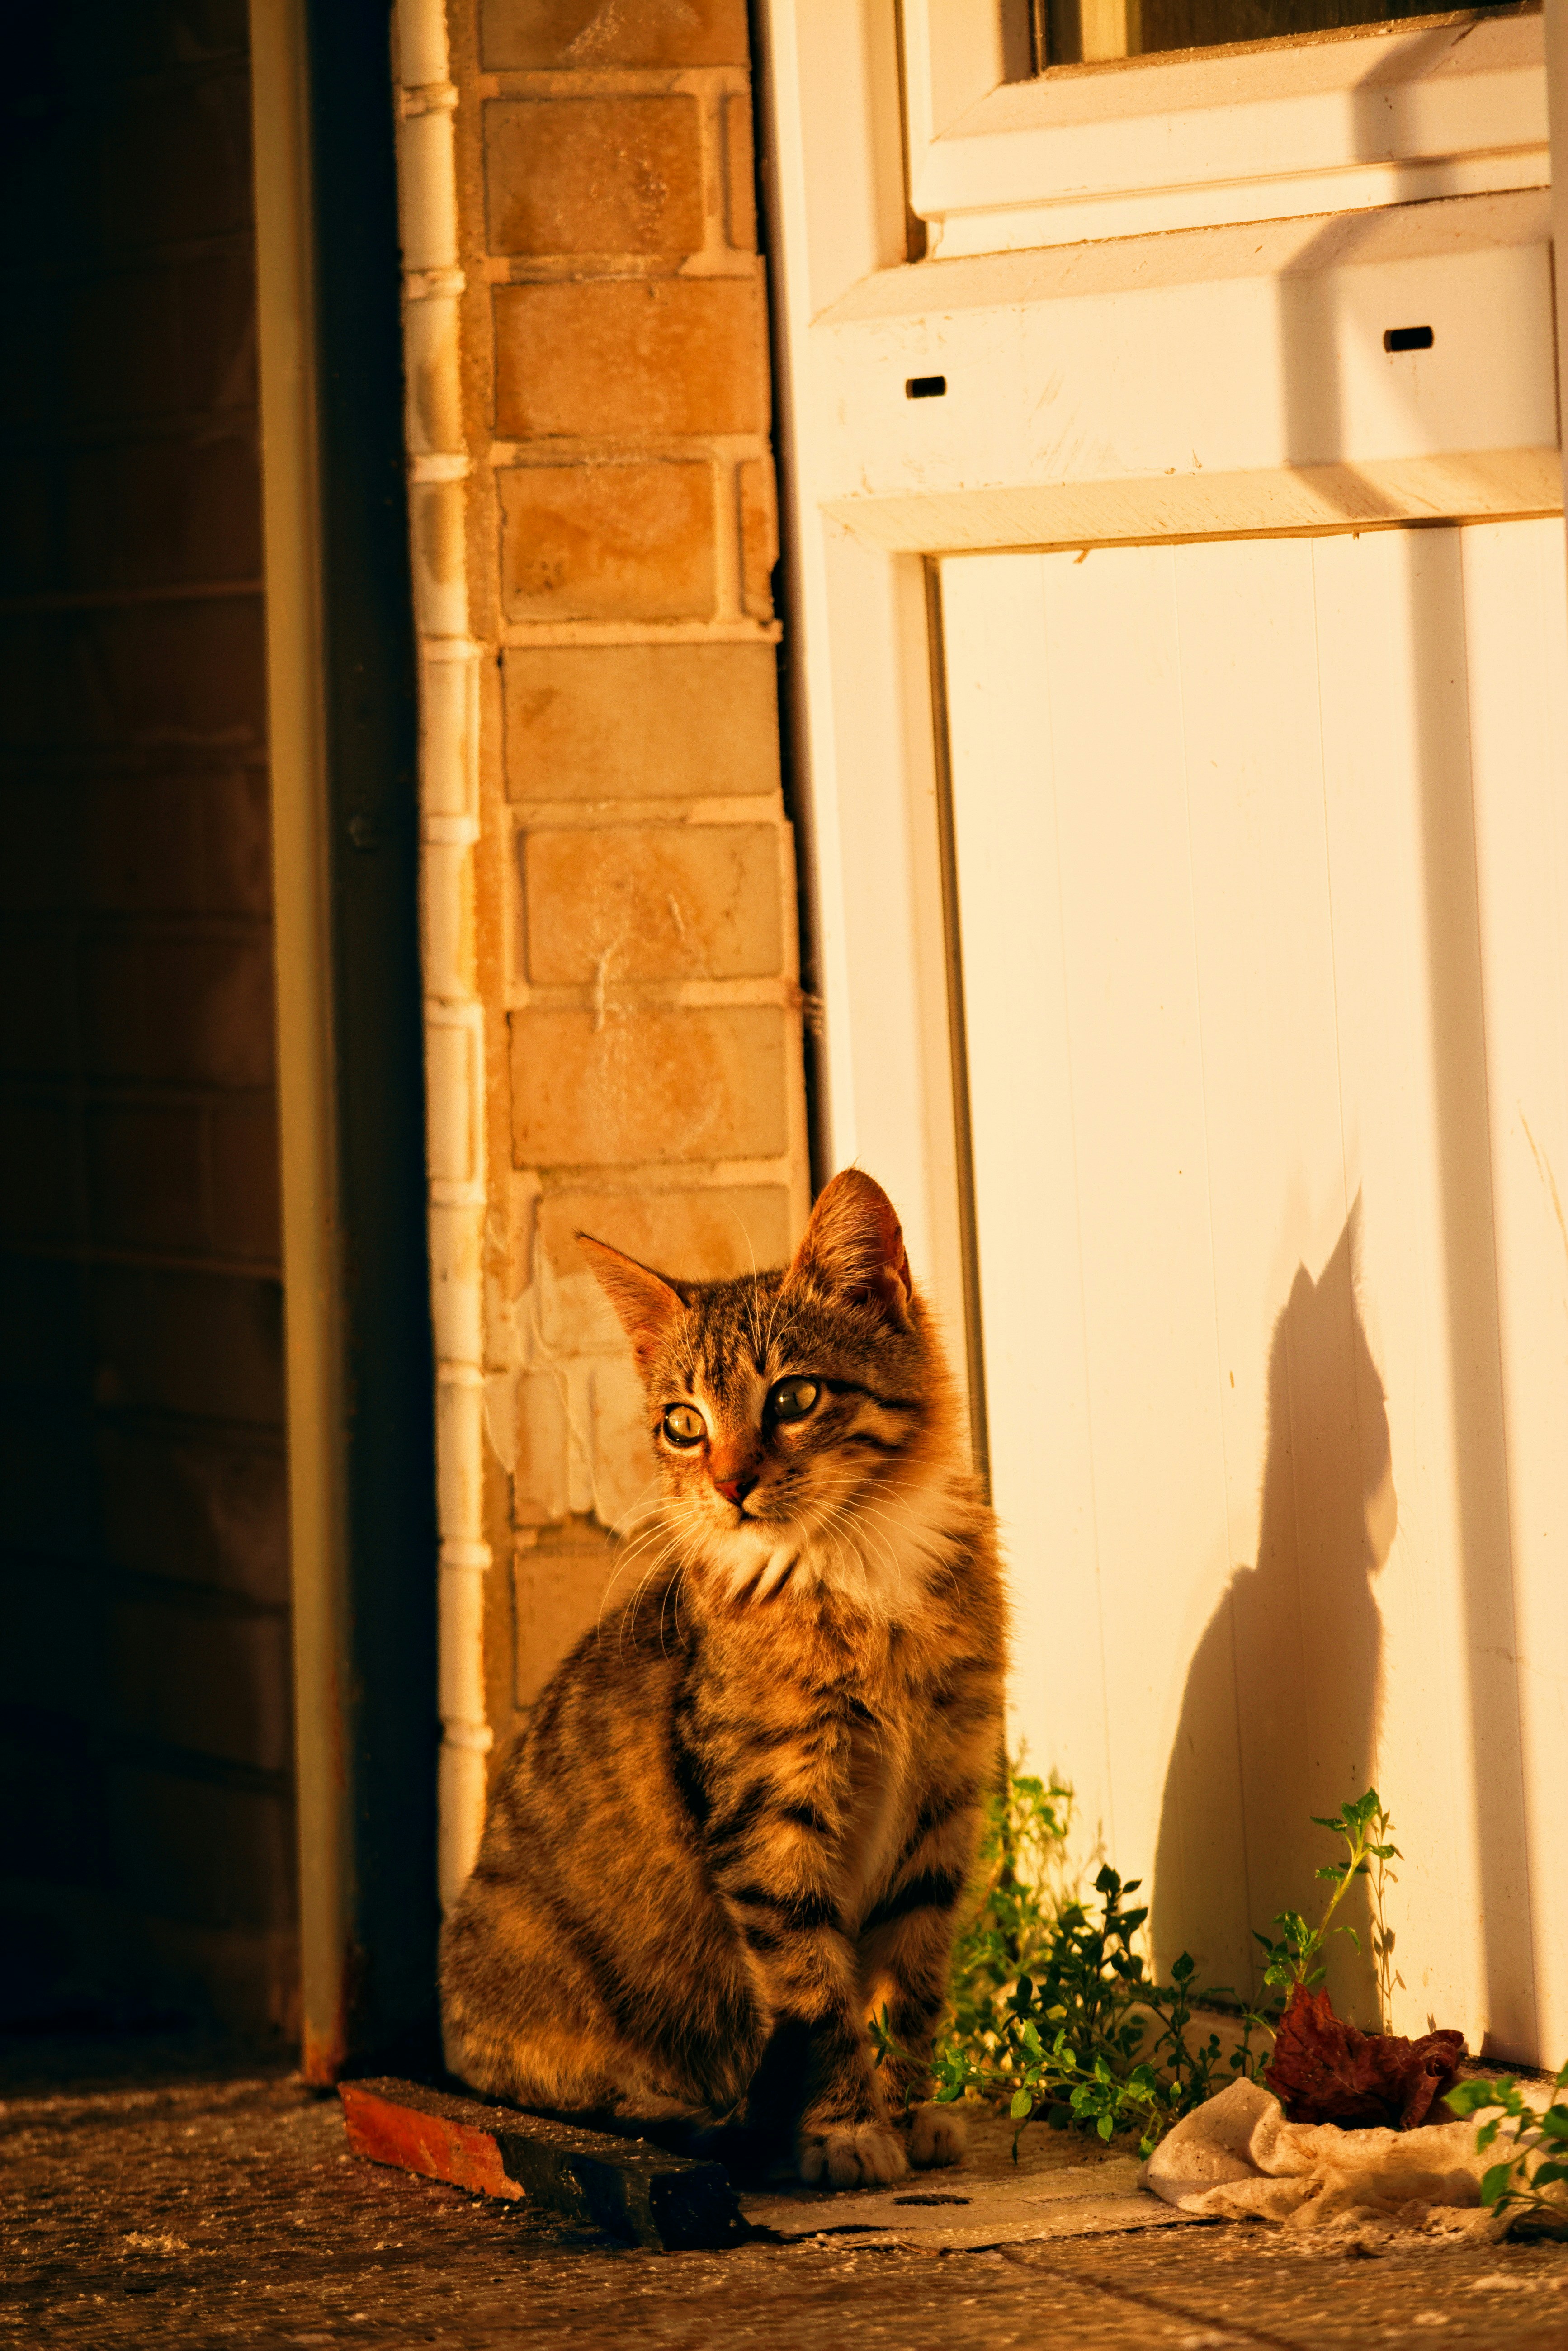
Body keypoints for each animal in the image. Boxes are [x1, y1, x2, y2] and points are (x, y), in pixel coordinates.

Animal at [442, 1171, 1006, 2181]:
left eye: (795, 1395)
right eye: (682, 1422)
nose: (730, 1484)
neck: (852, 1570)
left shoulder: (944, 1796)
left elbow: (913, 1980)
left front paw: (910, 2110)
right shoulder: (768, 1817)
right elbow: (815, 1991)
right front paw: (847, 2129)